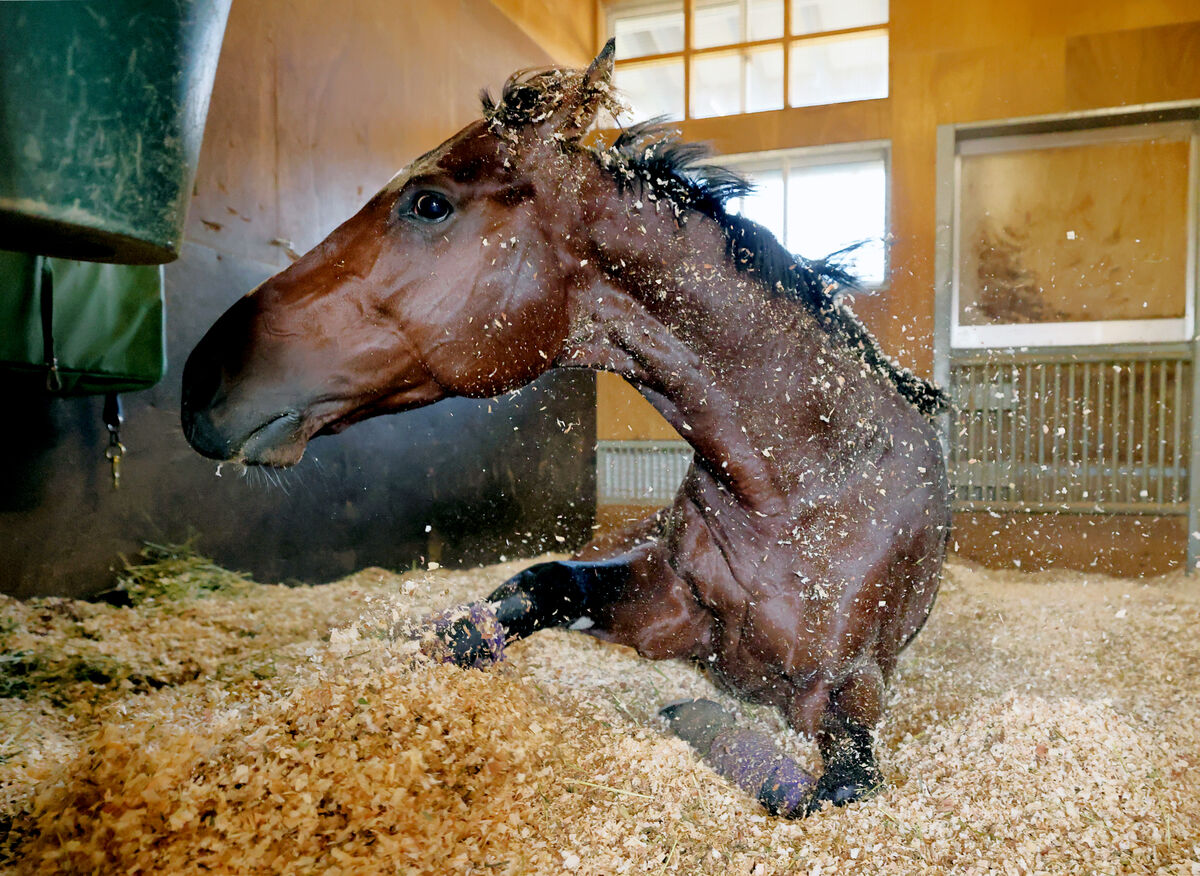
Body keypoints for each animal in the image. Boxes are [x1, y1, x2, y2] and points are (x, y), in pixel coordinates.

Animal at [180, 42, 945, 811]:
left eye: (429, 203)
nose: (200, 380)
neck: (800, 485)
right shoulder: (666, 602)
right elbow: (535, 590)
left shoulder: (847, 685)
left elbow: (828, 789)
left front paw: (697, 719)